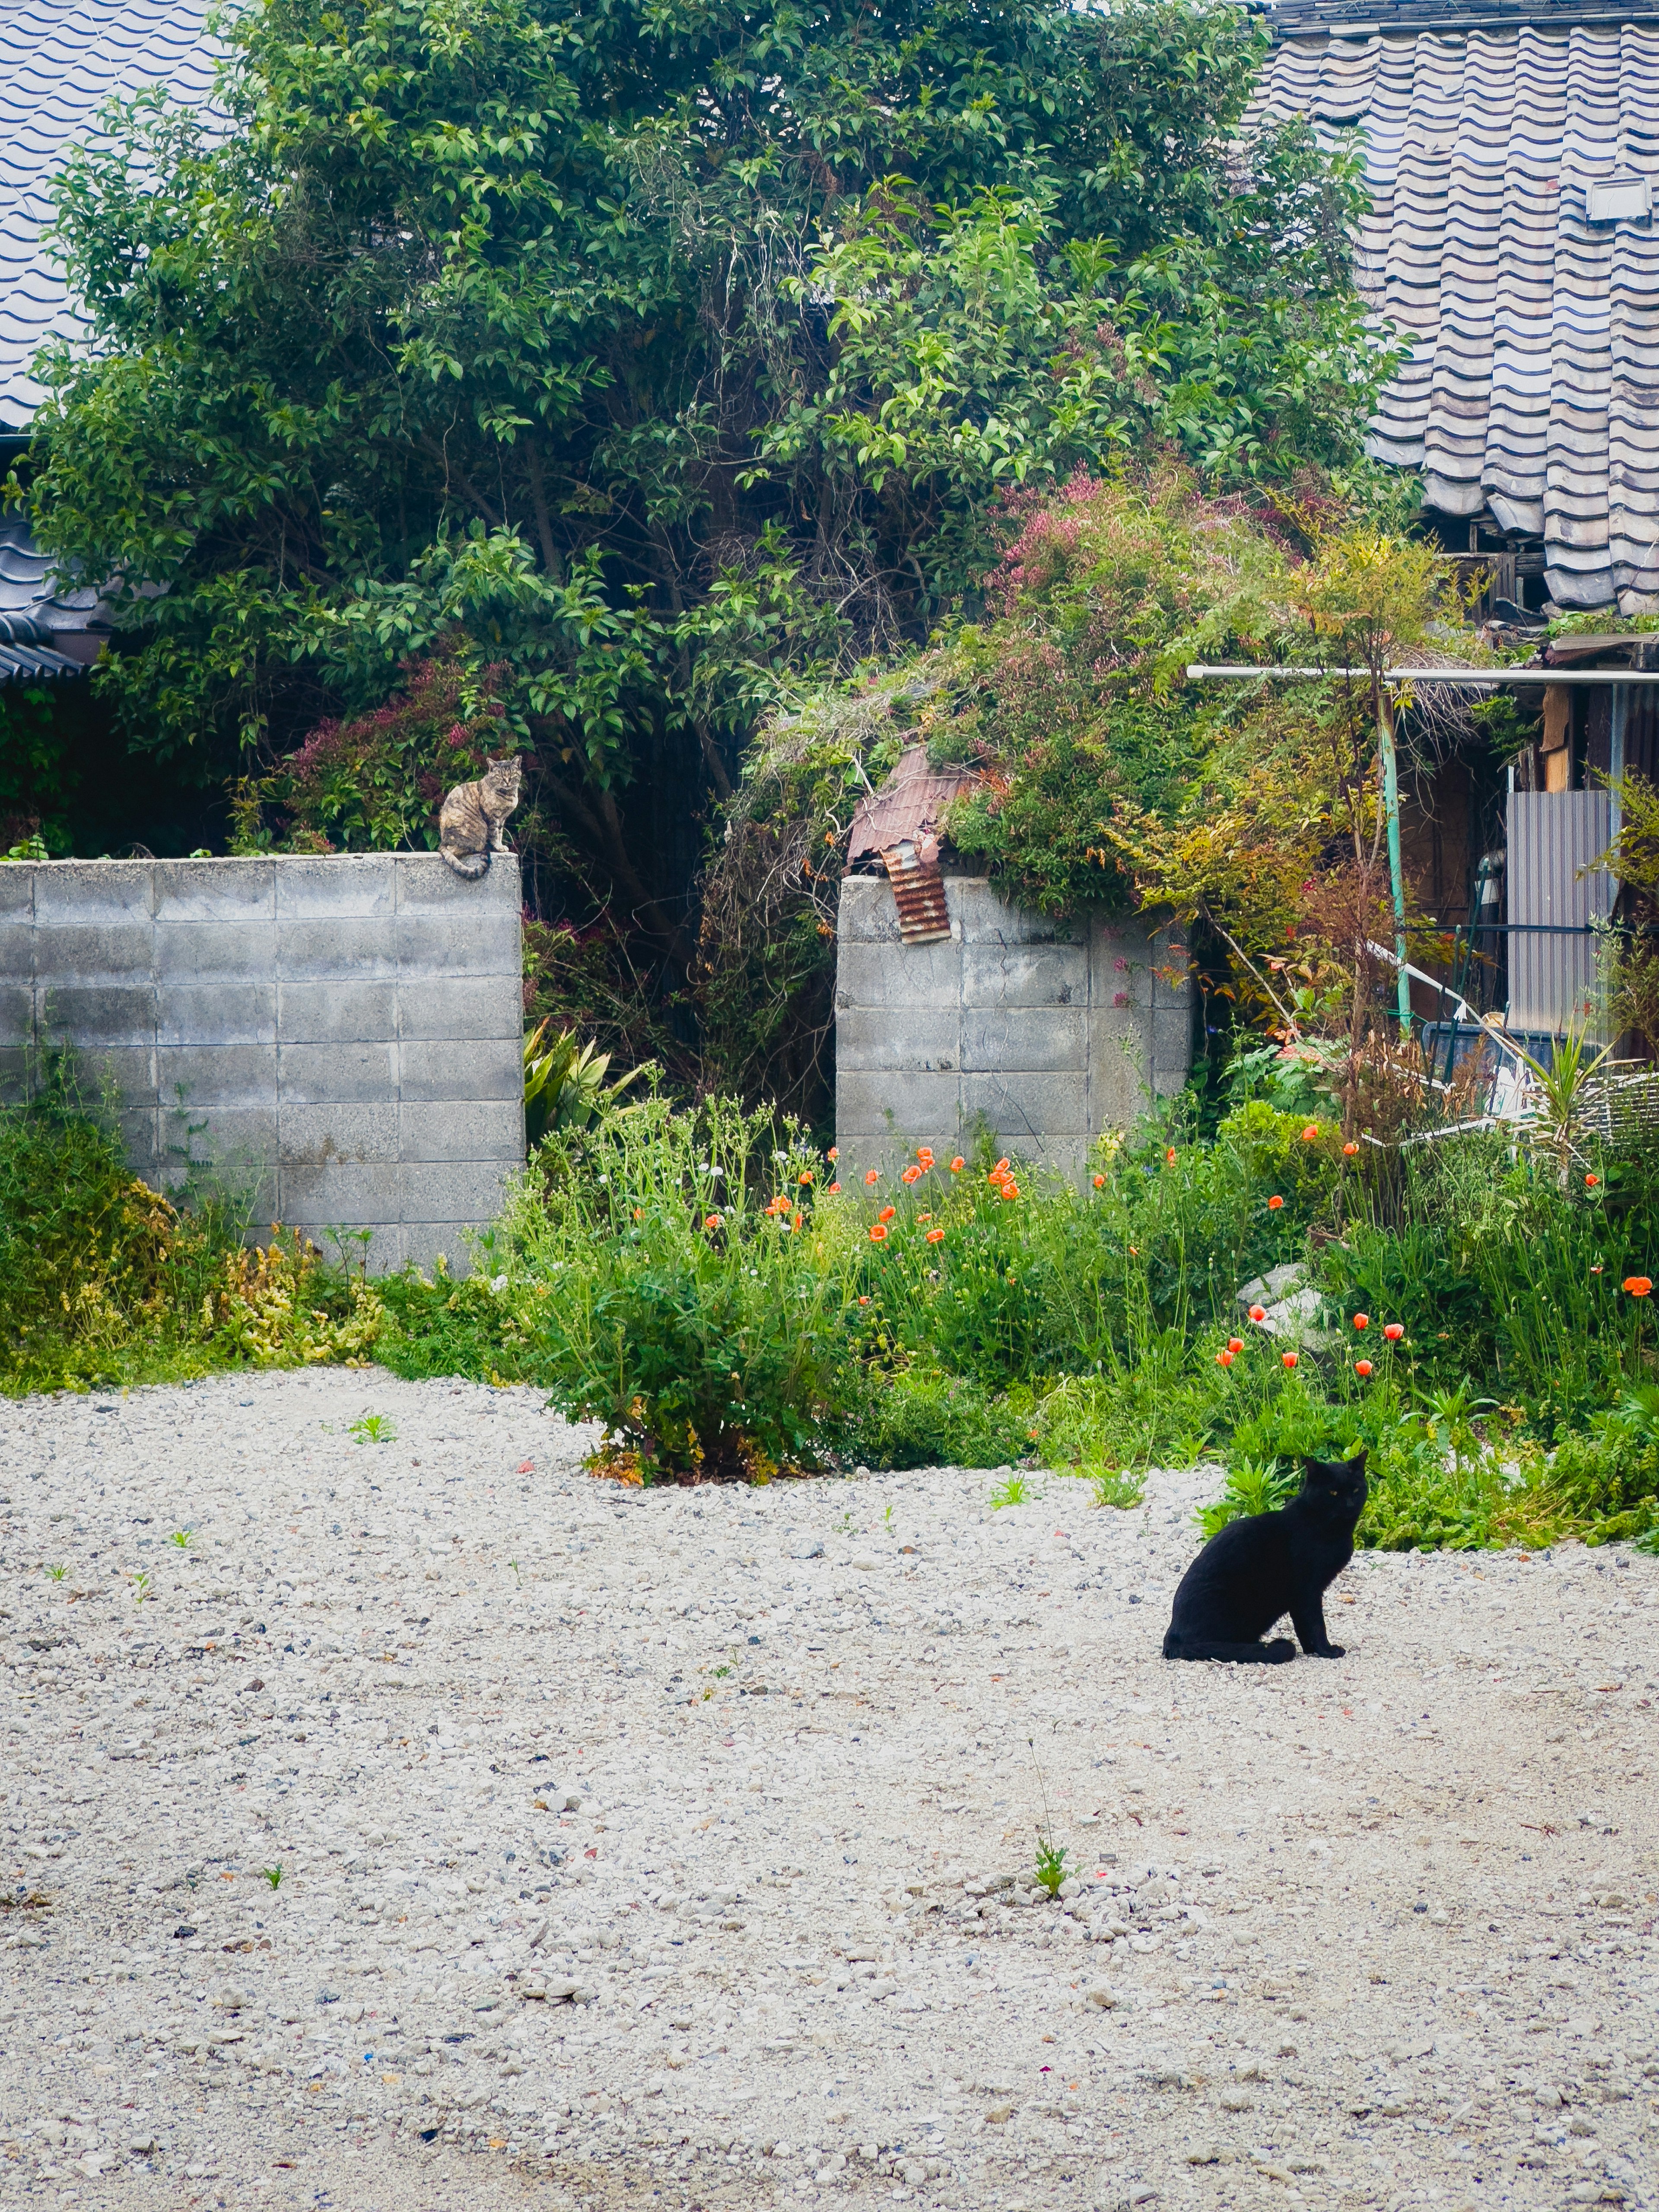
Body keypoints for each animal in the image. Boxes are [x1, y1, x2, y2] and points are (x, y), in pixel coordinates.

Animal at [438, 752, 522, 871]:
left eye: (512, 774)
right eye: (500, 776)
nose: (507, 781)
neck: (508, 795)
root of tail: (443, 843)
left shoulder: (502, 819)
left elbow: (500, 833)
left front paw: (501, 846)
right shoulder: (493, 818)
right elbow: (495, 834)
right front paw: (499, 848)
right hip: (477, 830)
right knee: (454, 850)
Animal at [1159, 1451, 1371, 1663]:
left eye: (1355, 1490)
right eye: (1333, 1493)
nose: (1350, 1505)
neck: (1334, 1531)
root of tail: (1172, 1638)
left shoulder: (1300, 1596)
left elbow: (1303, 1626)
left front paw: (1312, 1650)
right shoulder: (1307, 1589)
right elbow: (1316, 1624)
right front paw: (1327, 1651)